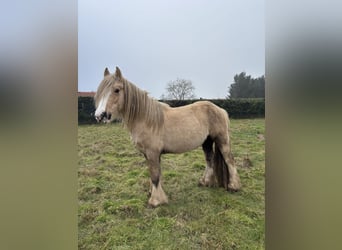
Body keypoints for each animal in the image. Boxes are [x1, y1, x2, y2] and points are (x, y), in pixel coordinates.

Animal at [95, 66, 242, 207]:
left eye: (116, 90)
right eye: (101, 91)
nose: (100, 115)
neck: (146, 119)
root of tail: (220, 110)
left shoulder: (152, 152)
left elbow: (154, 175)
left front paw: (156, 201)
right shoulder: (148, 154)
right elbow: (154, 174)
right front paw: (152, 193)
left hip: (222, 140)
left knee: (230, 160)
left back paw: (233, 187)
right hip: (207, 141)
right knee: (209, 159)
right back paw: (205, 182)